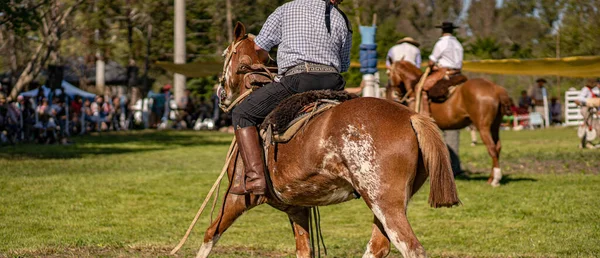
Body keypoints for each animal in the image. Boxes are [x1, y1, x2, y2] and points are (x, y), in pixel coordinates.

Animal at [192, 22, 460, 258]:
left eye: (226, 54)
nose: (221, 93)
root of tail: (412, 117)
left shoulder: (237, 197)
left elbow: (209, 235)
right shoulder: (297, 207)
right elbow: (304, 250)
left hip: (385, 203)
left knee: (410, 247)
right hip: (385, 203)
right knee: (378, 246)